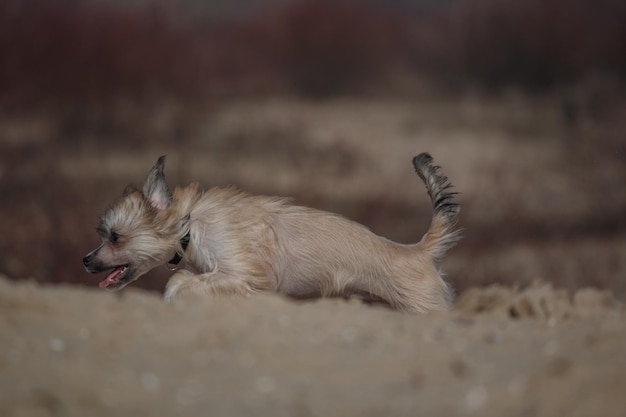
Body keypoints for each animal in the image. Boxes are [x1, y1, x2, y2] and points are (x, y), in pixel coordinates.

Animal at [83, 153, 458, 312]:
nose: (86, 260)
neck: (190, 227)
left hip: (424, 307)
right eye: (104, 234)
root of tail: (418, 250)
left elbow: (177, 283)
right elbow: (185, 279)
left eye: (114, 236)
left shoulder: (241, 273)